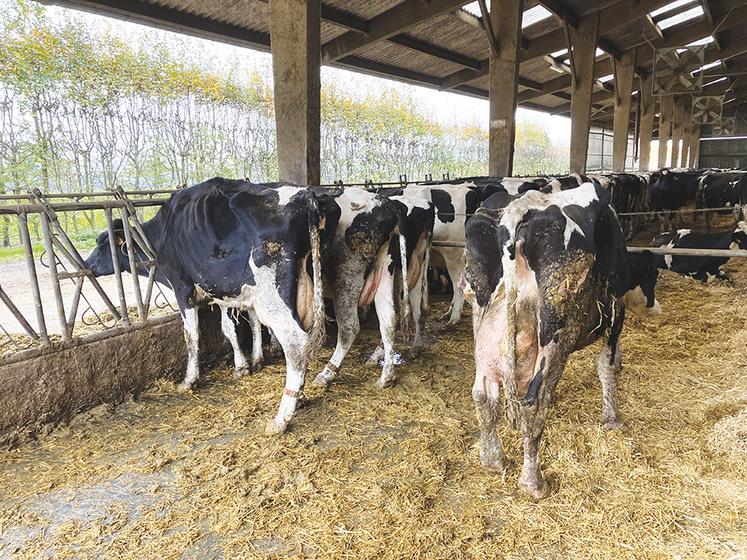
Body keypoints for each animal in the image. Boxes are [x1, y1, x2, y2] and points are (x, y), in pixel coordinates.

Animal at [84, 178, 340, 434]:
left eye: (101, 244)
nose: (87, 265)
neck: (162, 233)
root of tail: (307, 195)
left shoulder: (182, 286)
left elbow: (191, 335)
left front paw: (189, 380)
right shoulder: (224, 291)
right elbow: (233, 327)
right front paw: (245, 364)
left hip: (274, 298)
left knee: (296, 344)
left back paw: (282, 417)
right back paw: (300, 395)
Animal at [461, 183, 662, 498]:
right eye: (654, 274)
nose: (657, 308)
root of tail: (518, 210)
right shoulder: (615, 311)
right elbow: (606, 366)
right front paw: (612, 417)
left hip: (483, 326)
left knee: (483, 396)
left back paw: (494, 460)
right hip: (553, 332)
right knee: (533, 402)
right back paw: (534, 482)